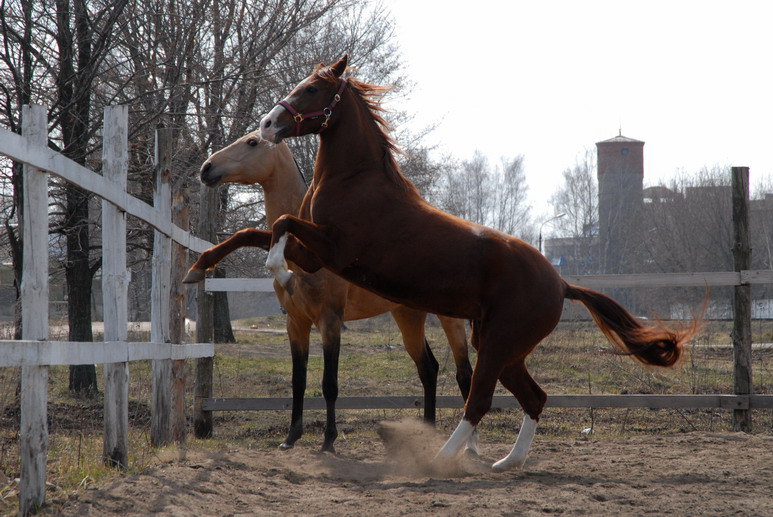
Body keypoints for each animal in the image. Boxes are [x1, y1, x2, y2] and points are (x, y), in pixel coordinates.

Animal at [182, 133, 470, 452]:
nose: (207, 168)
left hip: (449, 320)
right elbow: (298, 380)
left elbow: (329, 384)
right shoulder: (296, 322)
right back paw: (428, 435)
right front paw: (290, 438)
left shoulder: (329, 321)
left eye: (253, 142)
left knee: (464, 375)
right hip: (407, 316)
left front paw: (328, 441)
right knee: (428, 369)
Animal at [260, 54, 700, 470]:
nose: (266, 125)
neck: (356, 181)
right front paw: (276, 268)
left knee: (479, 400)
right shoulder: (315, 254)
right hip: (506, 350)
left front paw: (279, 271)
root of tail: (560, 284)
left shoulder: (335, 251)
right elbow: (275, 229)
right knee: (534, 398)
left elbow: (282, 225)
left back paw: (440, 460)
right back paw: (508, 461)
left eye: (313, 88)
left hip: (498, 345)